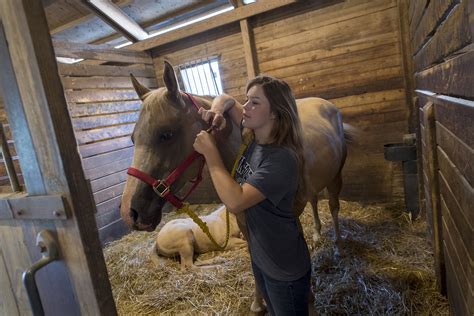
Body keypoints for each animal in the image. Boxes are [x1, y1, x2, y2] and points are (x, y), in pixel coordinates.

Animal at [103, 201, 448, 314]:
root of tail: (156, 242)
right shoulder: (232, 241)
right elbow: (237, 247)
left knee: (191, 265)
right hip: (186, 237)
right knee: (189, 268)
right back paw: (215, 263)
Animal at [120, 60, 352, 312]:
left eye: (166, 134)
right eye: (133, 138)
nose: (130, 213)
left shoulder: (290, 218)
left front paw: (307, 301)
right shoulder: (245, 224)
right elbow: (255, 261)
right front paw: (258, 303)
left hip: (336, 177)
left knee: (333, 207)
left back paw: (339, 248)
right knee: (315, 201)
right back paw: (318, 234)